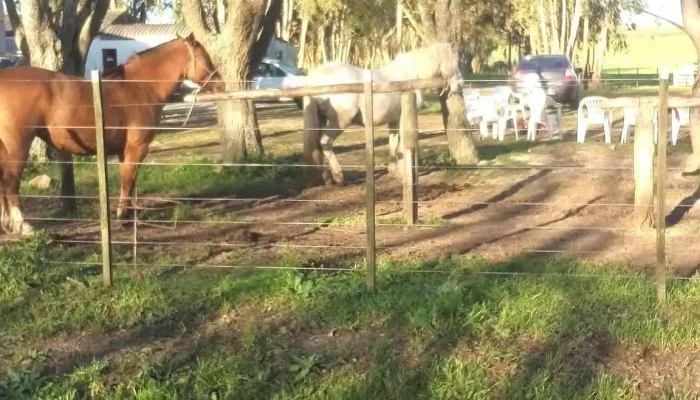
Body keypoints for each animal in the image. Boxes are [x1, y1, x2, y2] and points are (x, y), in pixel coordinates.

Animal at [0, 33, 221, 238]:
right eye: (205, 57)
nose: (220, 83)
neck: (139, 88)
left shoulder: (125, 151)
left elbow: (129, 180)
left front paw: (128, 214)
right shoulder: (136, 148)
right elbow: (128, 179)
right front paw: (124, 217)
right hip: (18, 147)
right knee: (10, 183)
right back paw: (24, 226)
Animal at [302, 42, 462, 184]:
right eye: (456, 62)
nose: (460, 85)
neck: (410, 77)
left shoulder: (393, 121)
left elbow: (393, 144)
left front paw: (394, 171)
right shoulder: (403, 120)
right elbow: (402, 145)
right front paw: (404, 174)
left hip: (322, 119)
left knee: (318, 145)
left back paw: (327, 178)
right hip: (340, 121)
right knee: (325, 142)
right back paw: (338, 177)